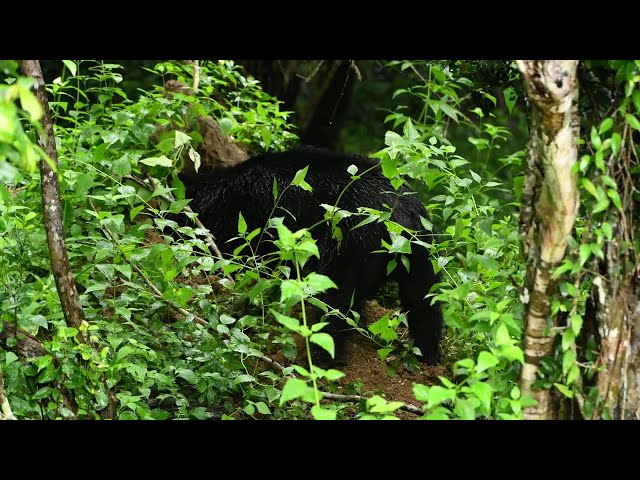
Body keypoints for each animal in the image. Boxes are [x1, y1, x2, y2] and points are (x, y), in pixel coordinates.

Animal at [178, 146, 442, 364]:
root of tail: (399, 222)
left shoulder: (251, 222)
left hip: (350, 242)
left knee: (335, 298)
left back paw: (322, 358)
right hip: (424, 252)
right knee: (424, 302)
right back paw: (428, 356)